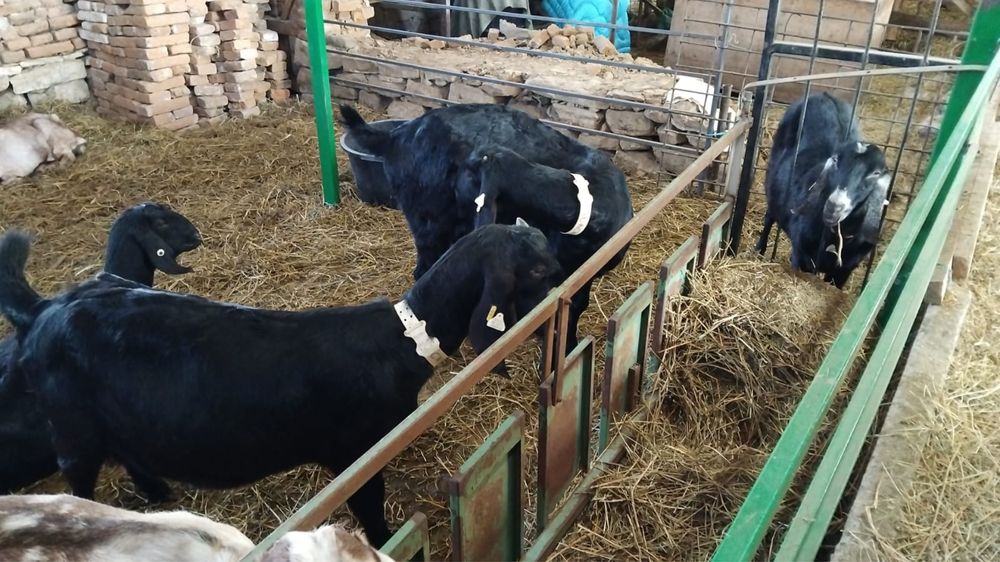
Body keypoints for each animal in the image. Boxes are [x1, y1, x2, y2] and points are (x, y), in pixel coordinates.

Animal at [755, 93, 890, 288]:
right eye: (836, 160)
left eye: (876, 173)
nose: (835, 206)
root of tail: (823, 95)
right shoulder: (802, 255)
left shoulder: (844, 270)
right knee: (769, 216)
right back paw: (759, 250)